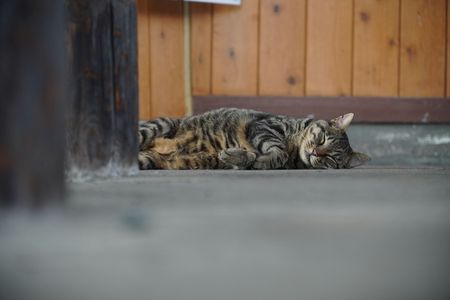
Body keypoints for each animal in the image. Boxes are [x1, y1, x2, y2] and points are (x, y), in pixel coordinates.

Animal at [137, 108, 370, 170]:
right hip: (159, 125)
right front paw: (262, 159)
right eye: (321, 139)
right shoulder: (263, 126)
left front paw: (238, 156)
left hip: (148, 160)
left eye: (330, 158)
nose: (314, 152)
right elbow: (278, 151)